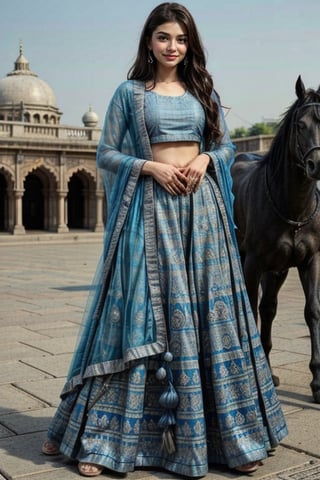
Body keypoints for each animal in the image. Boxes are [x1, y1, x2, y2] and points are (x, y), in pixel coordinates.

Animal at [231, 77, 320, 404]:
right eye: (300, 125)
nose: (317, 164)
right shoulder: (253, 262)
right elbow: (249, 309)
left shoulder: (310, 260)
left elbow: (312, 310)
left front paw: (316, 382)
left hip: (277, 269)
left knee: (269, 307)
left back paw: (269, 371)